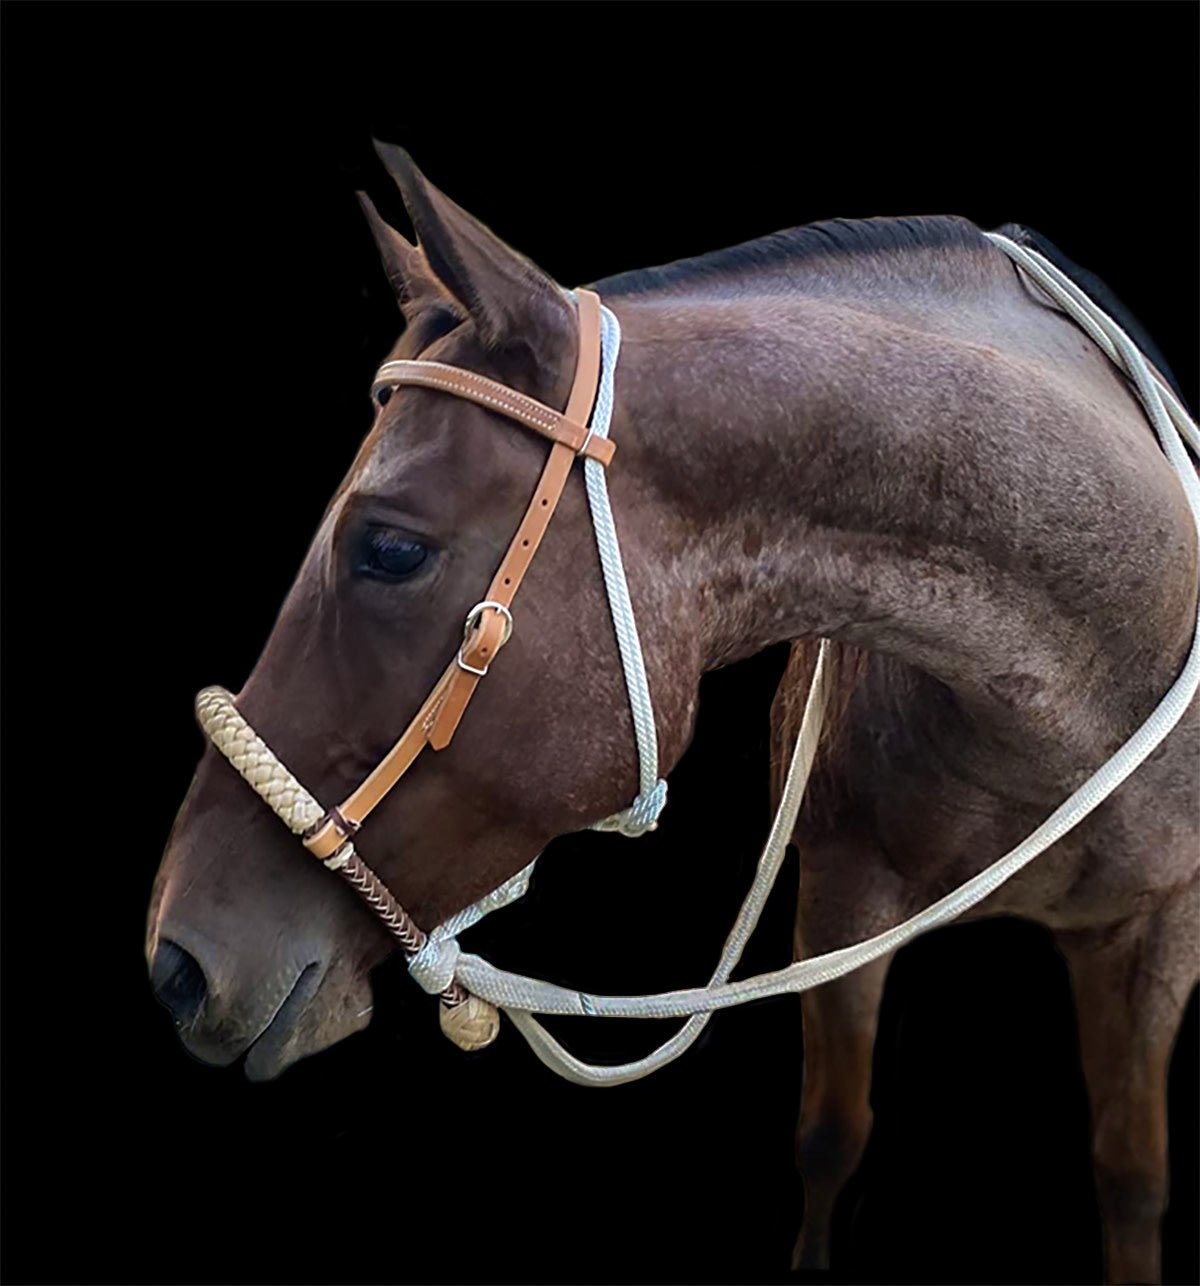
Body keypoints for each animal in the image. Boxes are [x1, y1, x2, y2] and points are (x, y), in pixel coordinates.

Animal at [145, 145, 1193, 1280]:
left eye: (388, 547)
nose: (177, 963)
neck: (1058, 700)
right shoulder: (844, 891)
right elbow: (831, 1135)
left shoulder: (1158, 938)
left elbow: (1134, 1179)